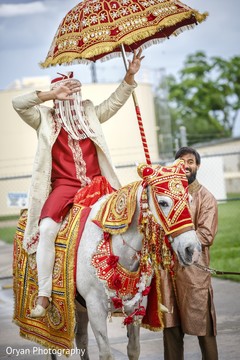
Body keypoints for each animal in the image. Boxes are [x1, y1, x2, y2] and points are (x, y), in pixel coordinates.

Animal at [72, 162, 201, 358]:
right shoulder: (95, 308)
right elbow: (106, 353)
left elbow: (134, 349)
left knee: (81, 340)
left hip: (81, 309)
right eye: (163, 202)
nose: (192, 250)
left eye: (190, 200)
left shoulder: (136, 307)